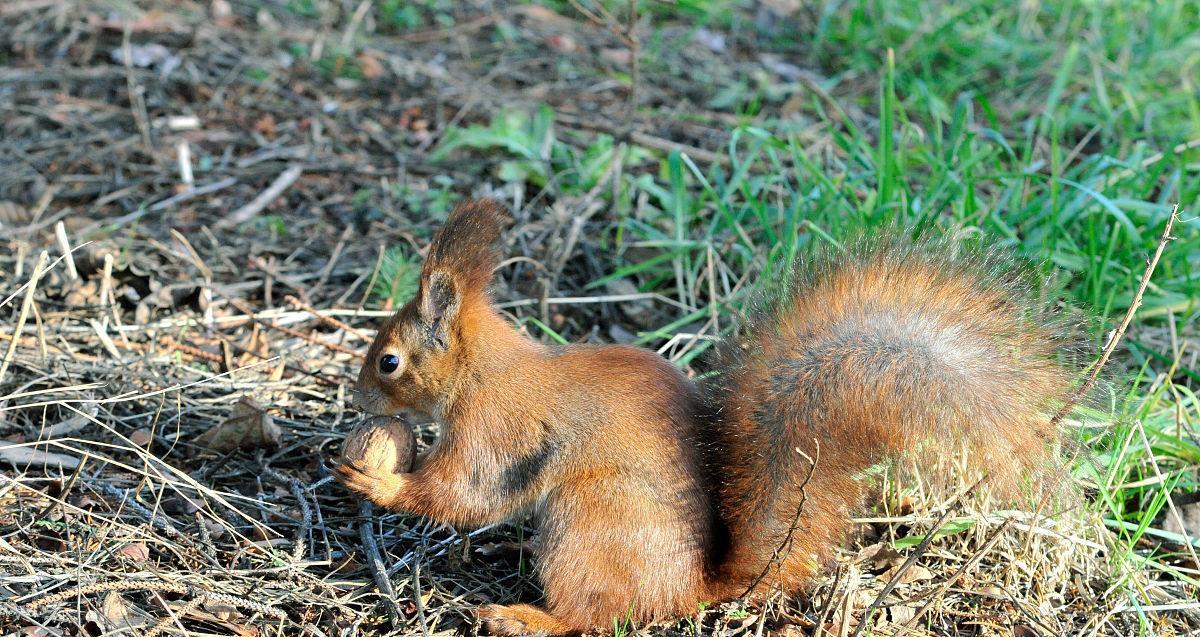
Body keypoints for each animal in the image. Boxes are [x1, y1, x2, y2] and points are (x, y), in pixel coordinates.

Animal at [338, 197, 1080, 633]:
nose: (360, 399)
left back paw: (523, 617)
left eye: (389, 362)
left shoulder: (494, 427)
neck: (482, 370)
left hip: (592, 517)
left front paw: (377, 479)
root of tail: (693, 586)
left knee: (595, 614)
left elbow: (466, 492)